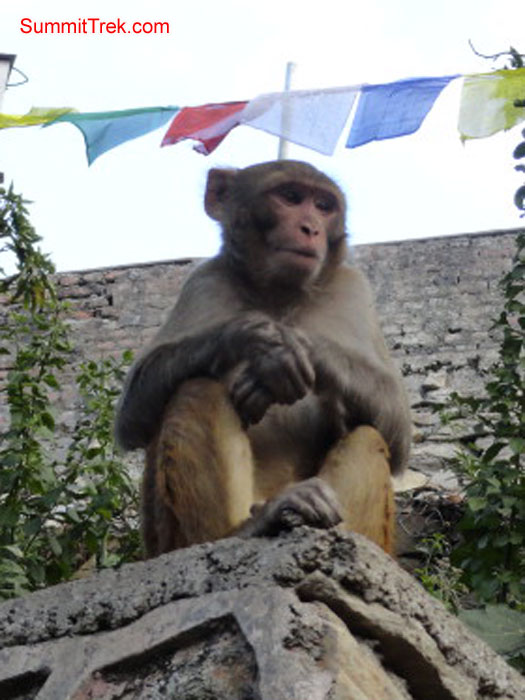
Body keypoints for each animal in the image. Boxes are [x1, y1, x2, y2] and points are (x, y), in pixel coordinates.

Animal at [115, 160, 412, 557]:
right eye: (291, 197)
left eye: (323, 205)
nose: (311, 228)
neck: (278, 295)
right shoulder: (204, 281)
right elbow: (133, 412)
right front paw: (252, 338)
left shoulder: (353, 290)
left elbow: (397, 426)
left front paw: (303, 351)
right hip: (164, 541)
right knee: (195, 389)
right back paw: (243, 529)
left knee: (368, 435)